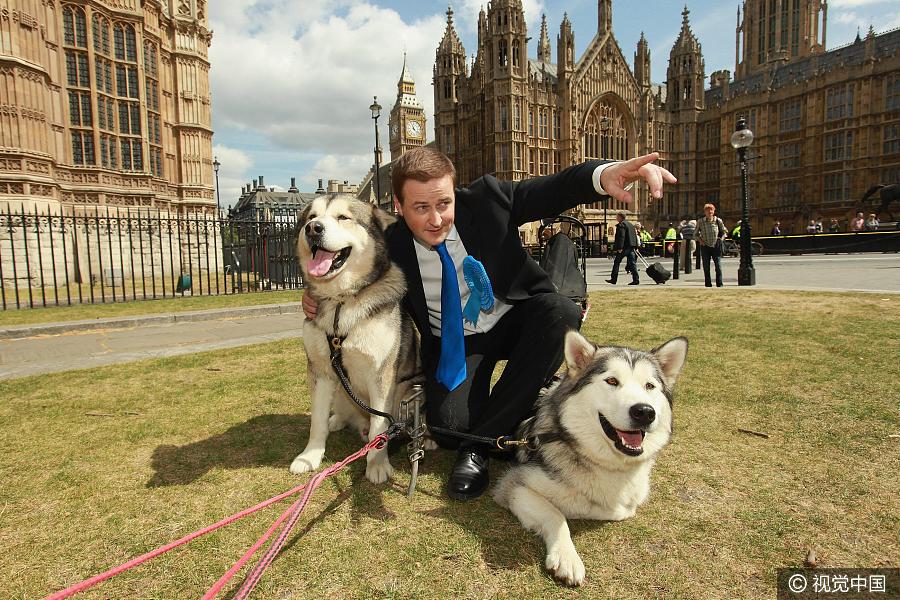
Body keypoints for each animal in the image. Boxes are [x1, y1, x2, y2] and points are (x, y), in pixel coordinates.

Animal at [290, 195, 424, 486]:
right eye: (310, 218)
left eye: (343, 217)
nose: (313, 229)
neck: (341, 301)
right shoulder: (319, 370)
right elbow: (316, 420)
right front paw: (309, 456)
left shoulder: (381, 375)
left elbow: (378, 427)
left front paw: (377, 464)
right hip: (340, 389)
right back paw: (337, 420)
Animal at [492, 328, 688, 584]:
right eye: (612, 381)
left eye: (649, 386)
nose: (644, 412)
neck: (608, 462)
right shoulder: (513, 486)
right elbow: (556, 514)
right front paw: (567, 558)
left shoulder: (630, 500)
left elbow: (619, 509)